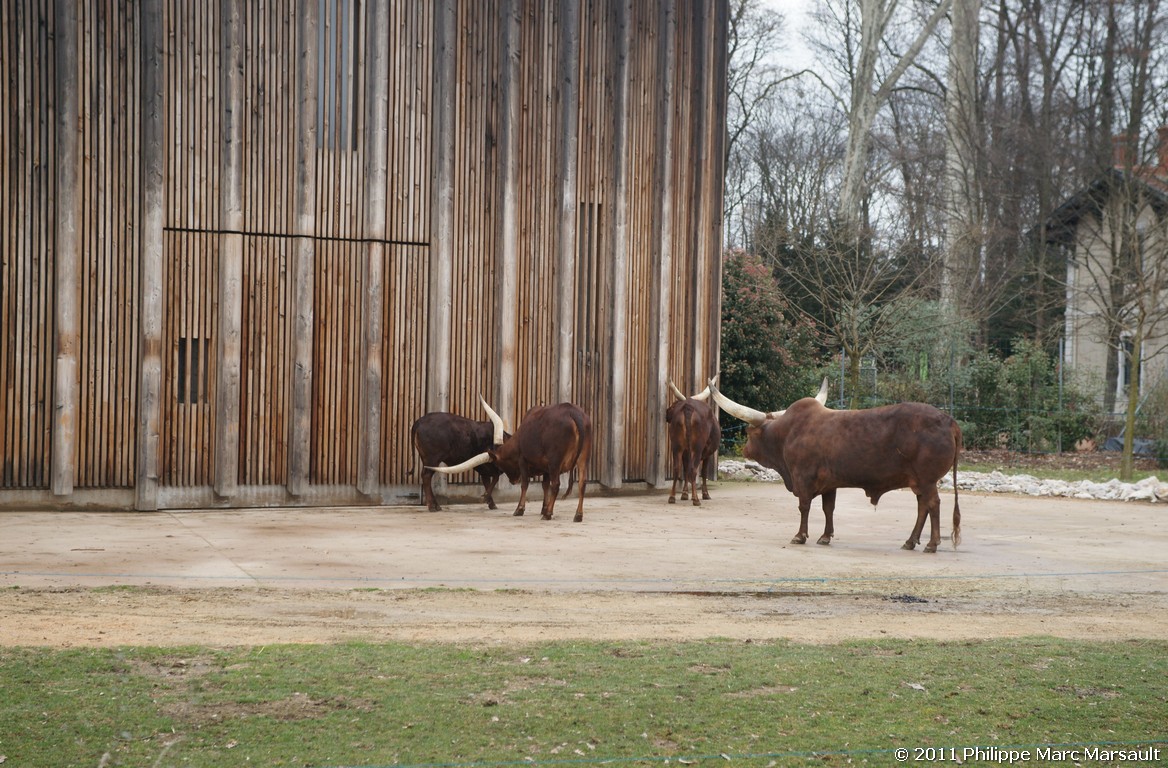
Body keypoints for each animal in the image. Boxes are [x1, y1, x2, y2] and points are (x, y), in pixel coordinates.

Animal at [429, 394, 593, 520]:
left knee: (557, 484)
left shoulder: (524, 461)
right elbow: (544, 485)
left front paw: (520, 509)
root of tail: (573, 413)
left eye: (499, 465)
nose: (512, 480)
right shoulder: (545, 468)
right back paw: (578, 515)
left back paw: (549, 515)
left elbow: (525, 484)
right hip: (583, 459)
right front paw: (544, 508)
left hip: (555, 461)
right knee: (582, 483)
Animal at [705, 378, 962, 550]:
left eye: (749, 433)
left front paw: (800, 535)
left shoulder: (803, 479)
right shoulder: (830, 484)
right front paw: (825, 536)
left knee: (933, 505)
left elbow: (804, 507)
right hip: (918, 481)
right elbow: (829, 509)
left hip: (927, 480)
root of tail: (948, 420)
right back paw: (910, 541)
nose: (745, 450)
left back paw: (931, 544)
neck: (788, 432)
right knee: (922, 507)